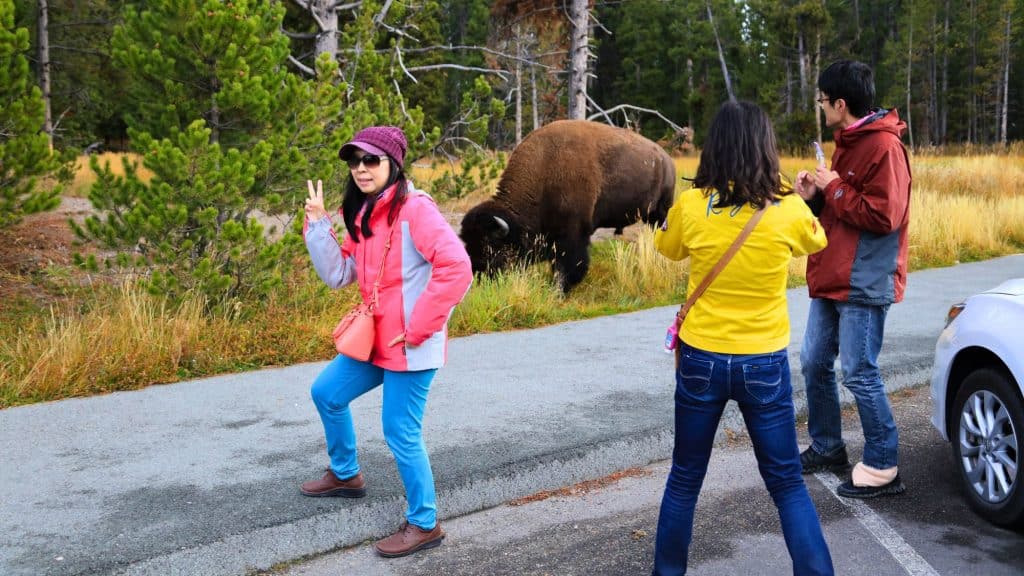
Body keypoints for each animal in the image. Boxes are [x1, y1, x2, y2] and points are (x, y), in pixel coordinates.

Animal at [459, 120, 676, 292]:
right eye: (468, 244)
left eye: (492, 248)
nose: (478, 278)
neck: (544, 172)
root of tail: (665, 159)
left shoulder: (572, 234)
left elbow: (569, 264)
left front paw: (560, 289)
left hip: (661, 212)